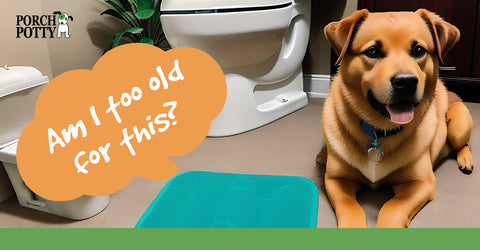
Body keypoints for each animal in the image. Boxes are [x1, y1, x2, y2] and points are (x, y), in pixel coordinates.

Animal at [318, 9, 472, 228]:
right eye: (373, 51)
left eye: (418, 50)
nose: (406, 82)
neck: (379, 132)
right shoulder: (336, 180)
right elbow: (350, 208)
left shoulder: (420, 184)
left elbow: (392, 208)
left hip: (459, 123)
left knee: (462, 144)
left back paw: (466, 159)